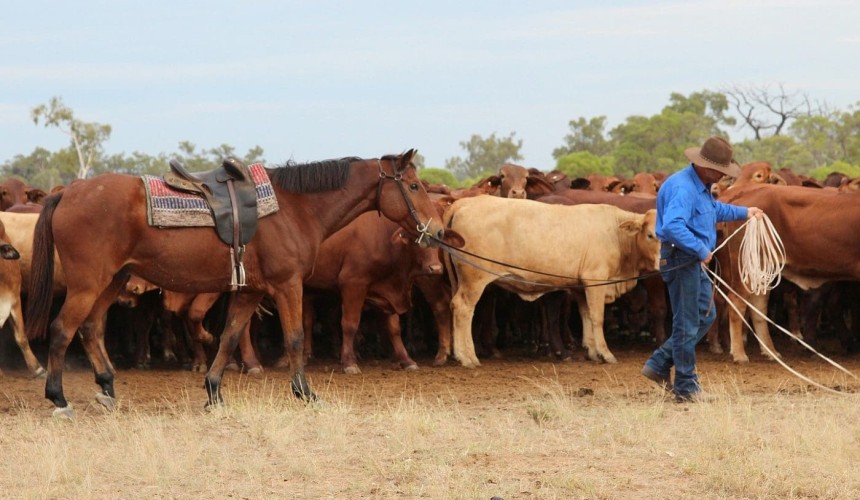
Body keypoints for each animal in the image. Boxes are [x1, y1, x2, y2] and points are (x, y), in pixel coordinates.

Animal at [26, 150, 455, 417]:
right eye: (413, 186)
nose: (436, 231)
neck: (294, 208)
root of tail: (67, 193)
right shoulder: (288, 286)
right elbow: (294, 337)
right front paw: (306, 393)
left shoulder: (251, 291)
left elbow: (230, 336)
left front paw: (214, 393)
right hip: (88, 283)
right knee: (62, 330)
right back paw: (59, 398)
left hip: (112, 281)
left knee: (90, 328)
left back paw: (108, 389)